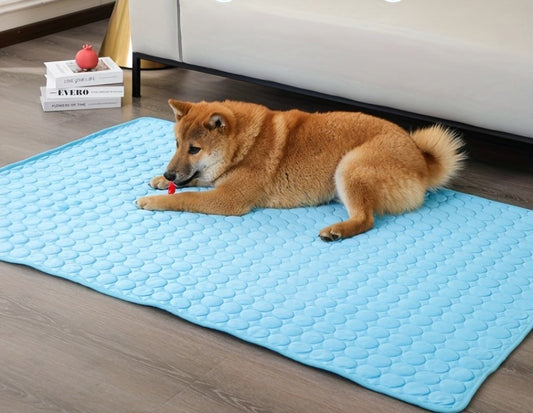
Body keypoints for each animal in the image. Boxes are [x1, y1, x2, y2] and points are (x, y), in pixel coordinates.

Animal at [136, 99, 462, 240]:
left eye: (194, 149)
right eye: (177, 143)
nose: (169, 174)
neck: (244, 144)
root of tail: (421, 159)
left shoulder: (229, 199)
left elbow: (184, 198)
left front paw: (155, 200)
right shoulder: (219, 182)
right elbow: (196, 182)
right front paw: (159, 180)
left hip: (350, 166)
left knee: (366, 220)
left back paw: (338, 230)